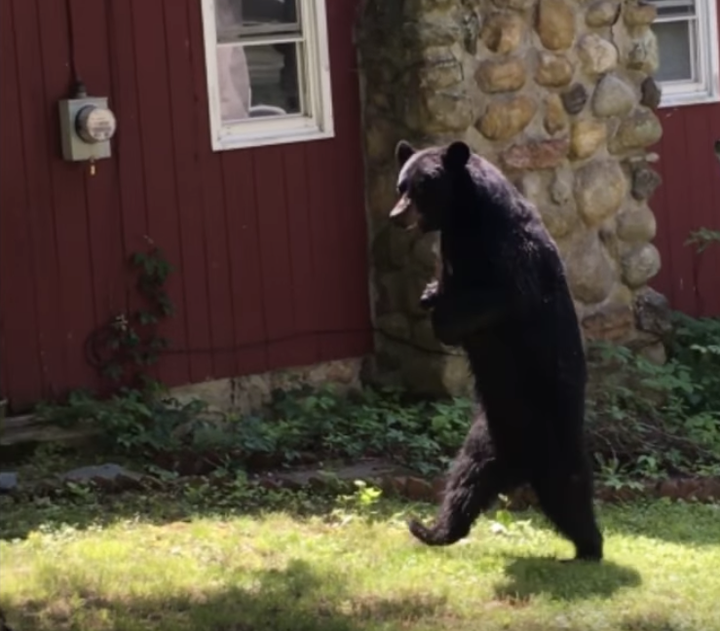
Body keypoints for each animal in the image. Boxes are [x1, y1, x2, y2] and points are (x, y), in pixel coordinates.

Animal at [388, 139, 600, 564]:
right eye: (401, 185)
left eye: (422, 187)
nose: (396, 216)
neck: (465, 220)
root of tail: (518, 466)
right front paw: (430, 294)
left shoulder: (509, 252)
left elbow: (505, 296)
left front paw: (441, 312)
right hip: (484, 440)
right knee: (463, 485)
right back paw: (428, 529)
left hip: (556, 441)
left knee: (571, 494)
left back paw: (590, 548)